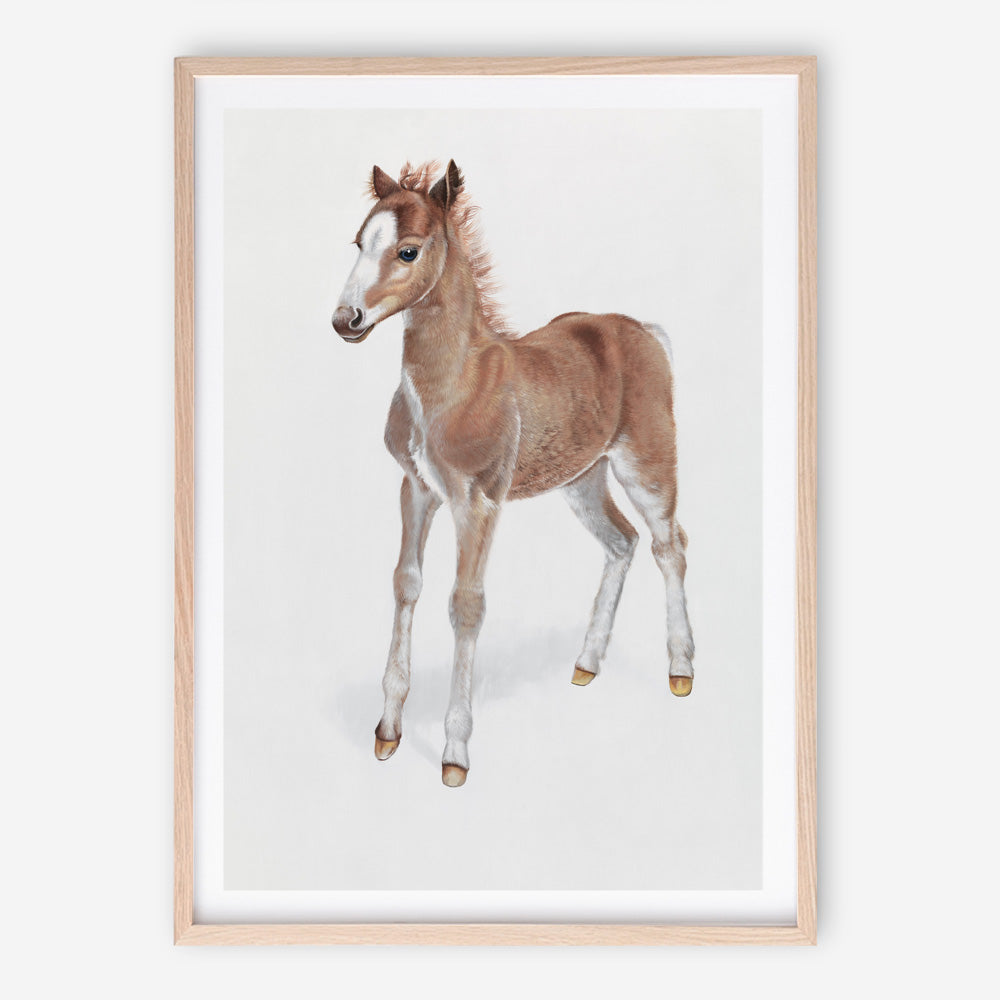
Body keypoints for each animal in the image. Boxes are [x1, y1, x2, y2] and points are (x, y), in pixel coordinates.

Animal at [332, 160, 695, 787]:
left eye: (408, 250)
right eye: (359, 242)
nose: (344, 319)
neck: (453, 384)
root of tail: (646, 330)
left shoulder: (477, 502)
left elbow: (466, 605)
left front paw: (454, 753)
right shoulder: (417, 490)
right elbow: (406, 584)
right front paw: (387, 732)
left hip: (646, 466)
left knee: (668, 545)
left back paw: (680, 670)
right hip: (582, 479)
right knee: (621, 542)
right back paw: (586, 664)